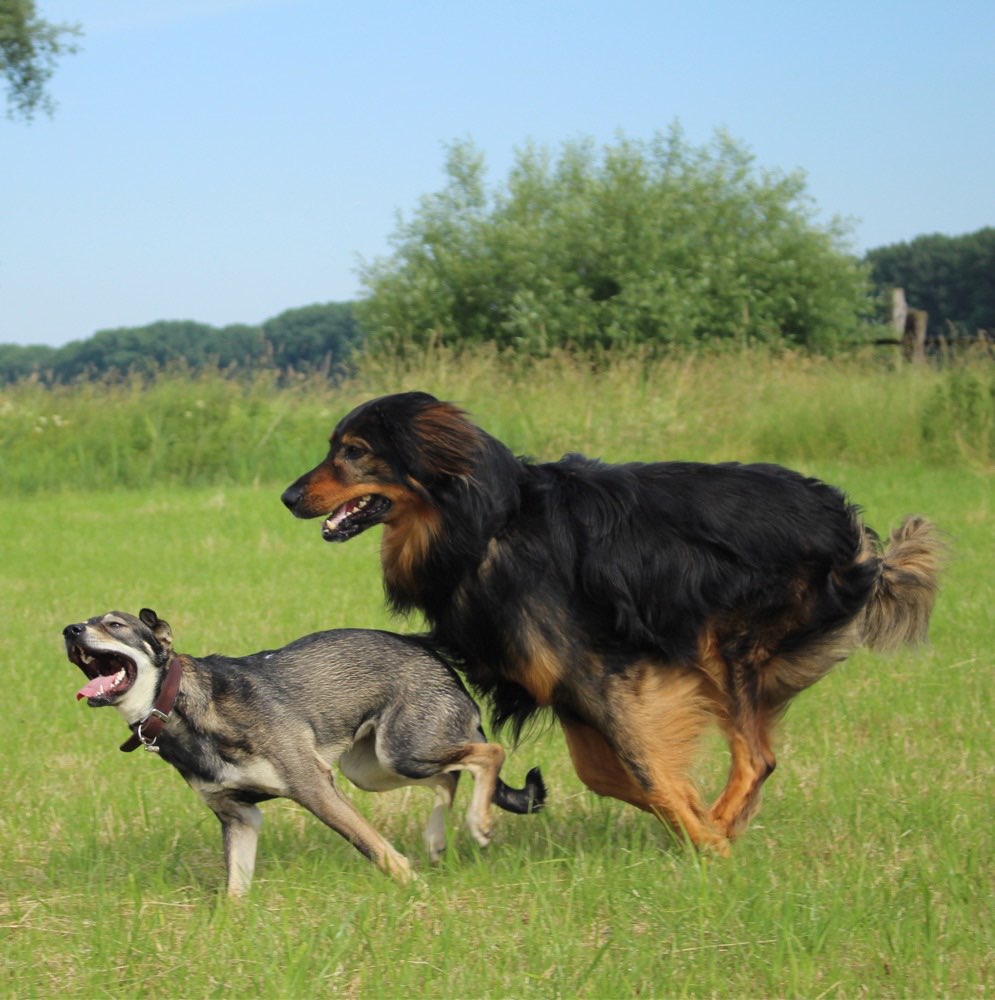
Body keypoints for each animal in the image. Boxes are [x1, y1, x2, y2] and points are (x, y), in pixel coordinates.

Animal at [62, 608, 544, 900]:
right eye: (84, 621)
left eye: (115, 625)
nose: (69, 630)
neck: (184, 704)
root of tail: (437, 657)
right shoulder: (240, 817)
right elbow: (234, 889)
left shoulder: (313, 786)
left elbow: (377, 849)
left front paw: (418, 892)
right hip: (374, 767)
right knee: (450, 775)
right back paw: (437, 840)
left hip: (403, 750)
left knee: (489, 752)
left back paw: (478, 822)